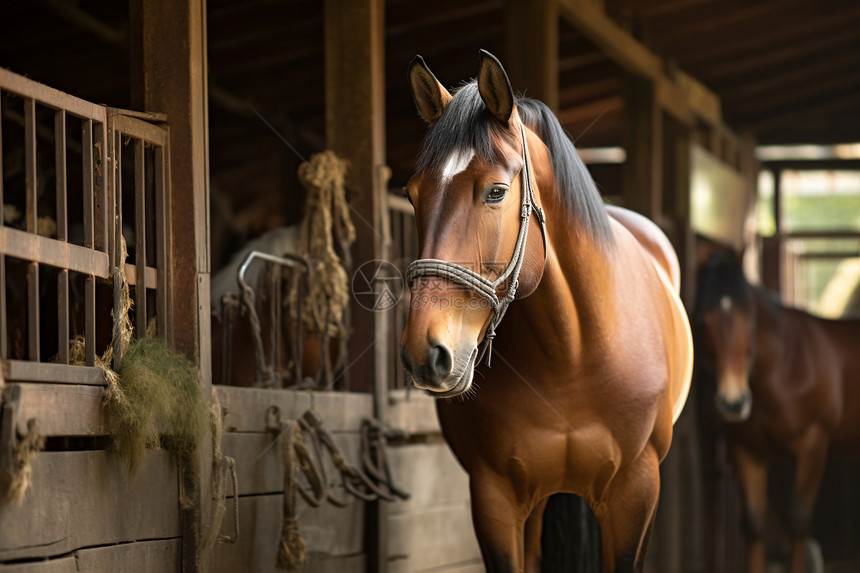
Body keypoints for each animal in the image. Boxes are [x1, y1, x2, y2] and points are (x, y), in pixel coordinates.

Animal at [402, 51, 692, 568]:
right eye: (413, 193)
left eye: (496, 192)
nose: (426, 352)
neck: (571, 352)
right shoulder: (494, 496)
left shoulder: (636, 494)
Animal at [696, 254, 860, 572]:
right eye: (702, 319)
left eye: (749, 316)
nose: (733, 402)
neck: (785, 366)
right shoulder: (746, 451)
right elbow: (754, 524)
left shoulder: (814, 443)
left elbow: (799, 521)